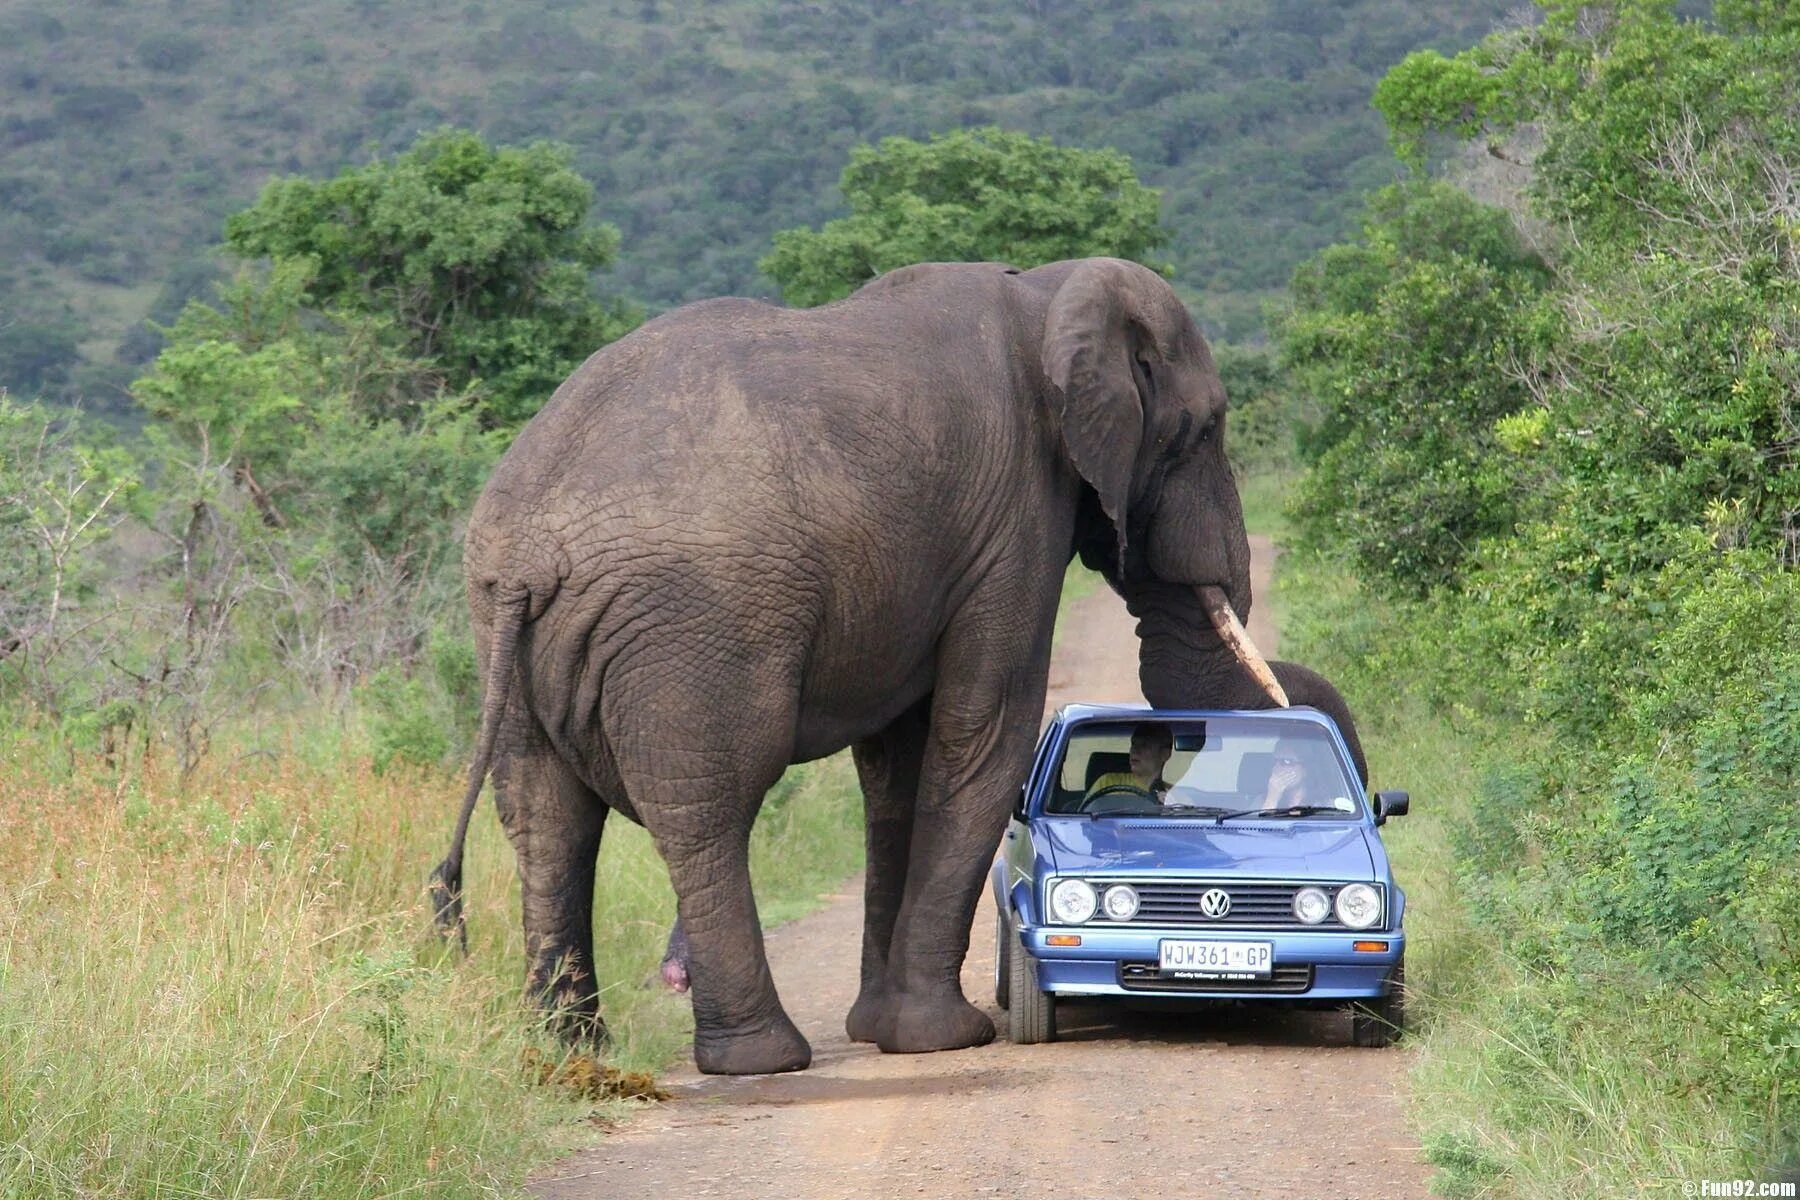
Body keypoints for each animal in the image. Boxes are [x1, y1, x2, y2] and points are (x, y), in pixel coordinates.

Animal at [432, 255, 1296, 1079]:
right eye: (1208, 428)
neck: (1049, 291)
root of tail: (530, 549)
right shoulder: (1016, 517)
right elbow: (985, 730)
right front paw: (943, 1039)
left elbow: (896, 767)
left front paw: (879, 1030)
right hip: (695, 625)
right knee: (709, 809)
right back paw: (759, 1058)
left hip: (503, 630)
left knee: (547, 818)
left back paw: (570, 1054)